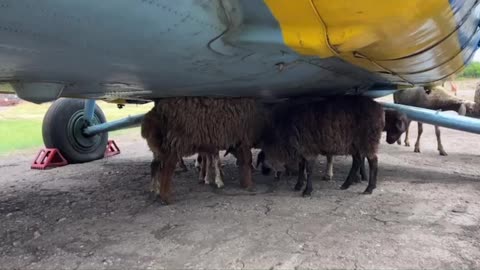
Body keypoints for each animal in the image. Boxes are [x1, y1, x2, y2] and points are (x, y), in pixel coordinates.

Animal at [256, 96, 384, 196]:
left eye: (262, 160)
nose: (264, 172)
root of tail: (379, 108)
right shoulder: (302, 149)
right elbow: (301, 167)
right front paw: (298, 185)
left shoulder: (308, 149)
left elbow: (309, 169)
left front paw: (307, 191)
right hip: (353, 143)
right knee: (357, 161)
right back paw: (346, 184)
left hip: (368, 139)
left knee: (373, 161)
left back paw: (369, 188)